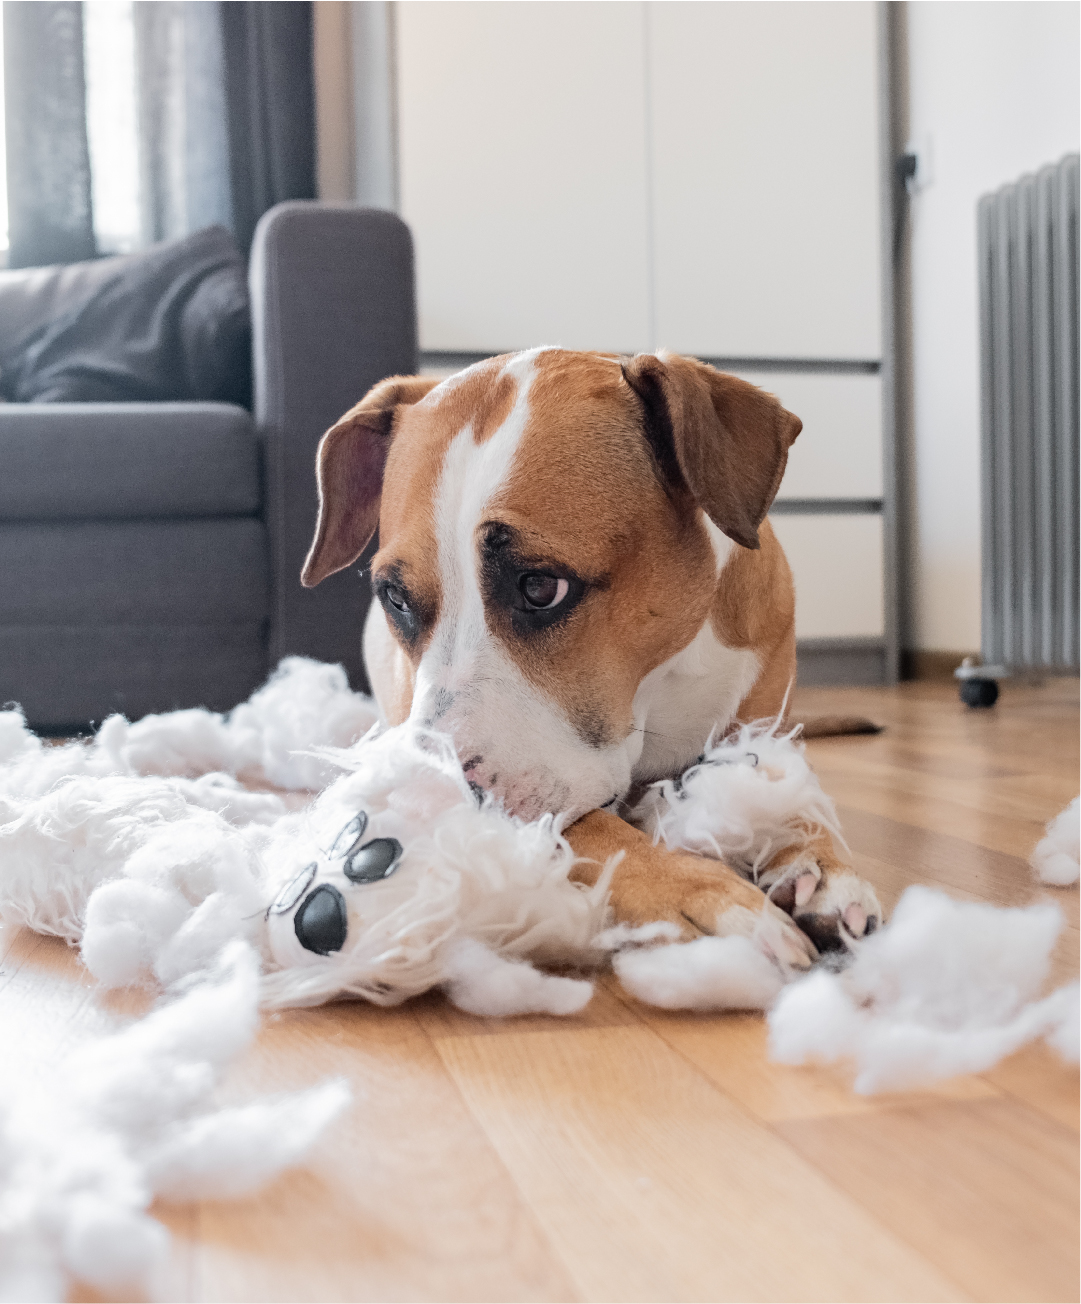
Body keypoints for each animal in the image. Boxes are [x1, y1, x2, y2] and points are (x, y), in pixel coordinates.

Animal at [299, 346, 881, 970]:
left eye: (540, 587)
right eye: (396, 598)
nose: (428, 802)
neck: (659, 685)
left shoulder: (764, 730)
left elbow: (786, 791)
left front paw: (817, 862)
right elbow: (596, 831)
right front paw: (700, 893)